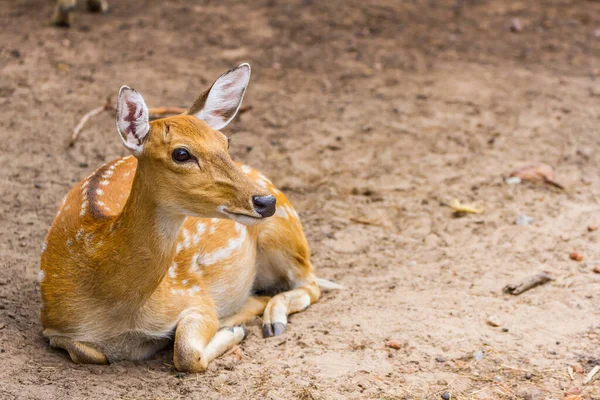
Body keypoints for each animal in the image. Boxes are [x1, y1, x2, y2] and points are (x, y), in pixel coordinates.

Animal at [38, 63, 338, 372]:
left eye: (226, 142)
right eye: (181, 153)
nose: (265, 202)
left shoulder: (194, 295)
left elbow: (186, 352)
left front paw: (232, 329)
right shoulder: (52, 324)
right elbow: (87, 352)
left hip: (283, 232)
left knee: (310, 284)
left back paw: (266, 321)